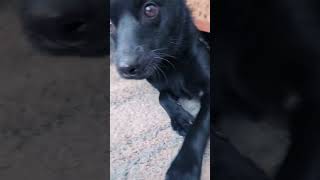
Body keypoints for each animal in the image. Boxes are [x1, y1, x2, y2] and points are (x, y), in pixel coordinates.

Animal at [110, 0, 210, 179]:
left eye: (150, 10)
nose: (126, 69)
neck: (172, 62)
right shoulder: (162, 85)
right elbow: (162, 97)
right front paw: (181, 119)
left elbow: (198, 128)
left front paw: (182, 168)